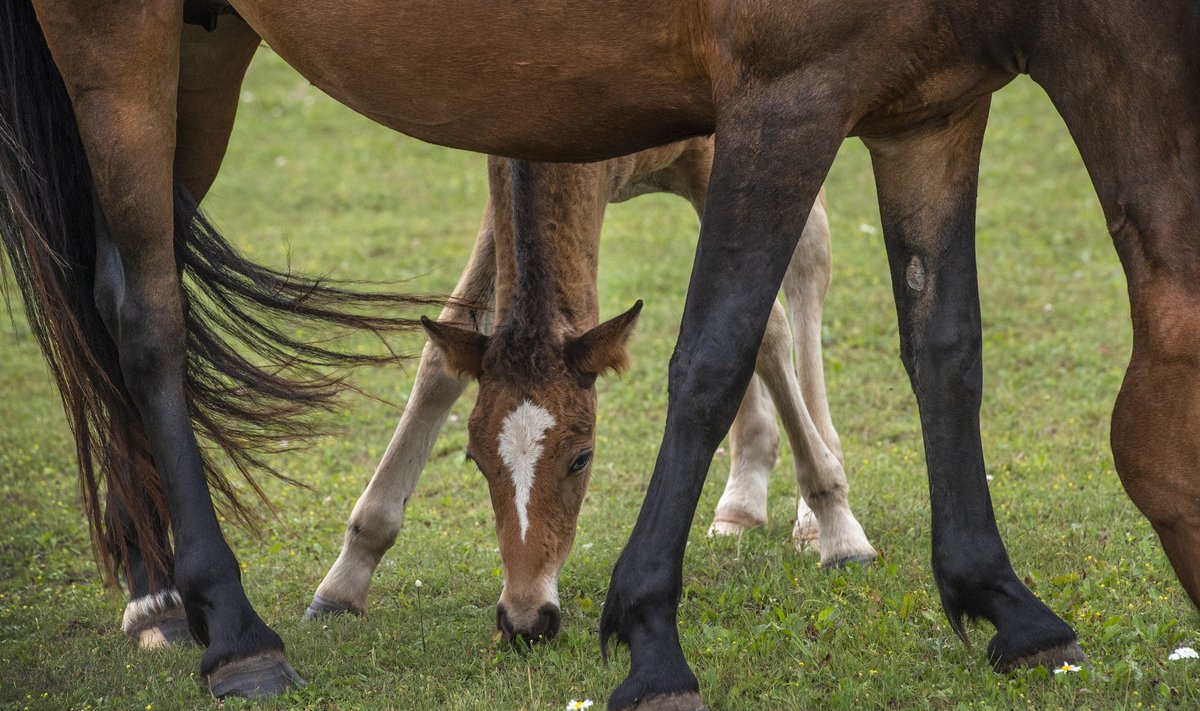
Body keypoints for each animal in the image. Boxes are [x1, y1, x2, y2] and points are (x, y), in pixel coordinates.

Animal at [2, 1, 1200, 711]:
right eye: (477, 467)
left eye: (583, 460)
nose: (528, 621)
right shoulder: (783, 94)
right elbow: (689, 350)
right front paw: (650, 642)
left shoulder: (913, 106)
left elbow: (927, 342)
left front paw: (1001, 605)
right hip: (120, 37)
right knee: (142, 310)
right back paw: (220, 627)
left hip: (202, 48)